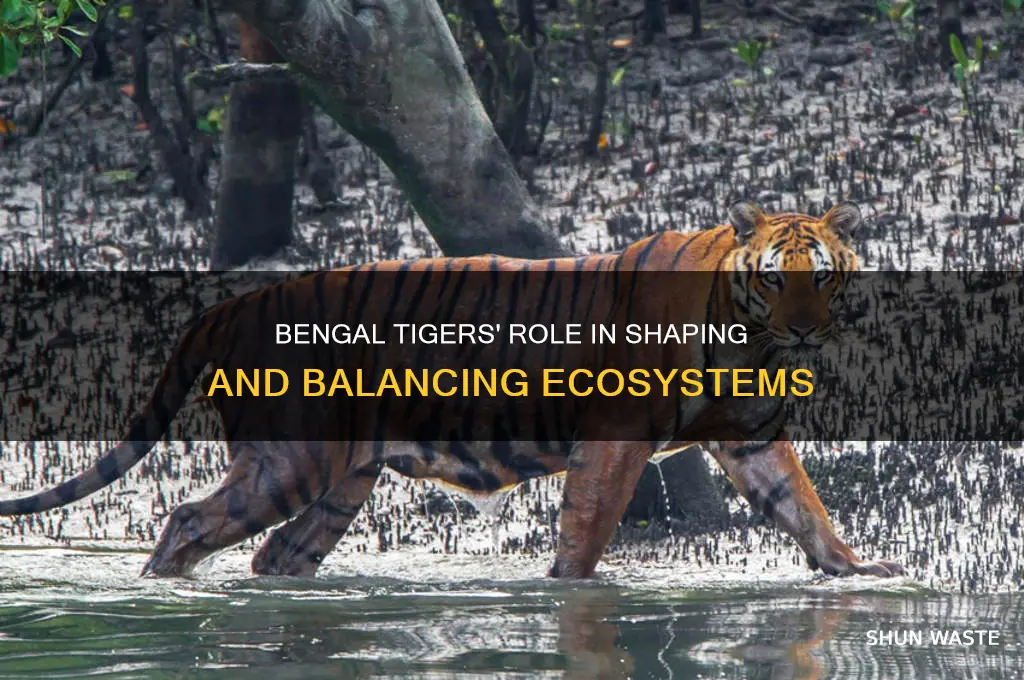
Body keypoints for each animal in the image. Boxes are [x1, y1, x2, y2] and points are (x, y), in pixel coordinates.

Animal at [0, 200, 903, 581]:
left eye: (823, 276)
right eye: (775, 277)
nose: (805, 331)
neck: (747, 338)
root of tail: (230, 302)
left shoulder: (751, 438)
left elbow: (807, 510)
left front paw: (861, 575)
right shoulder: (614, 445)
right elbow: (585, 536)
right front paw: (570, 596)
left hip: (342, 479)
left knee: (276, 554)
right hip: (290, 461)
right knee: (189, 520)